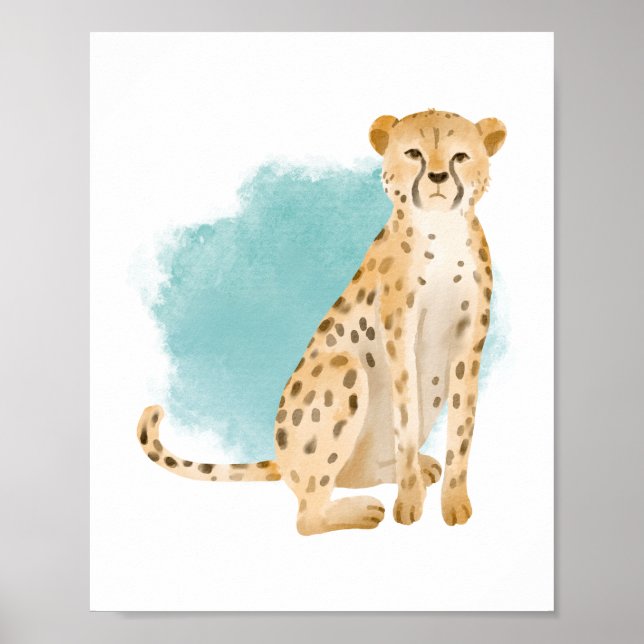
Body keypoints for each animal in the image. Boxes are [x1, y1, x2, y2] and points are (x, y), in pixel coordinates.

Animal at [137, 108, 506, 535]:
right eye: (413, 153)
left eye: (460, 156)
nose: (437, 177)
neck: (441, 231)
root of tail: (281, 460)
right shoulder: (399, 336)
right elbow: (406, 418)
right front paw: (410, 500)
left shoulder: (469, 339)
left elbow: (462, 426)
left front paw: (455, 500)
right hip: (341, 368)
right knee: (307, 515)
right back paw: (362, 509)